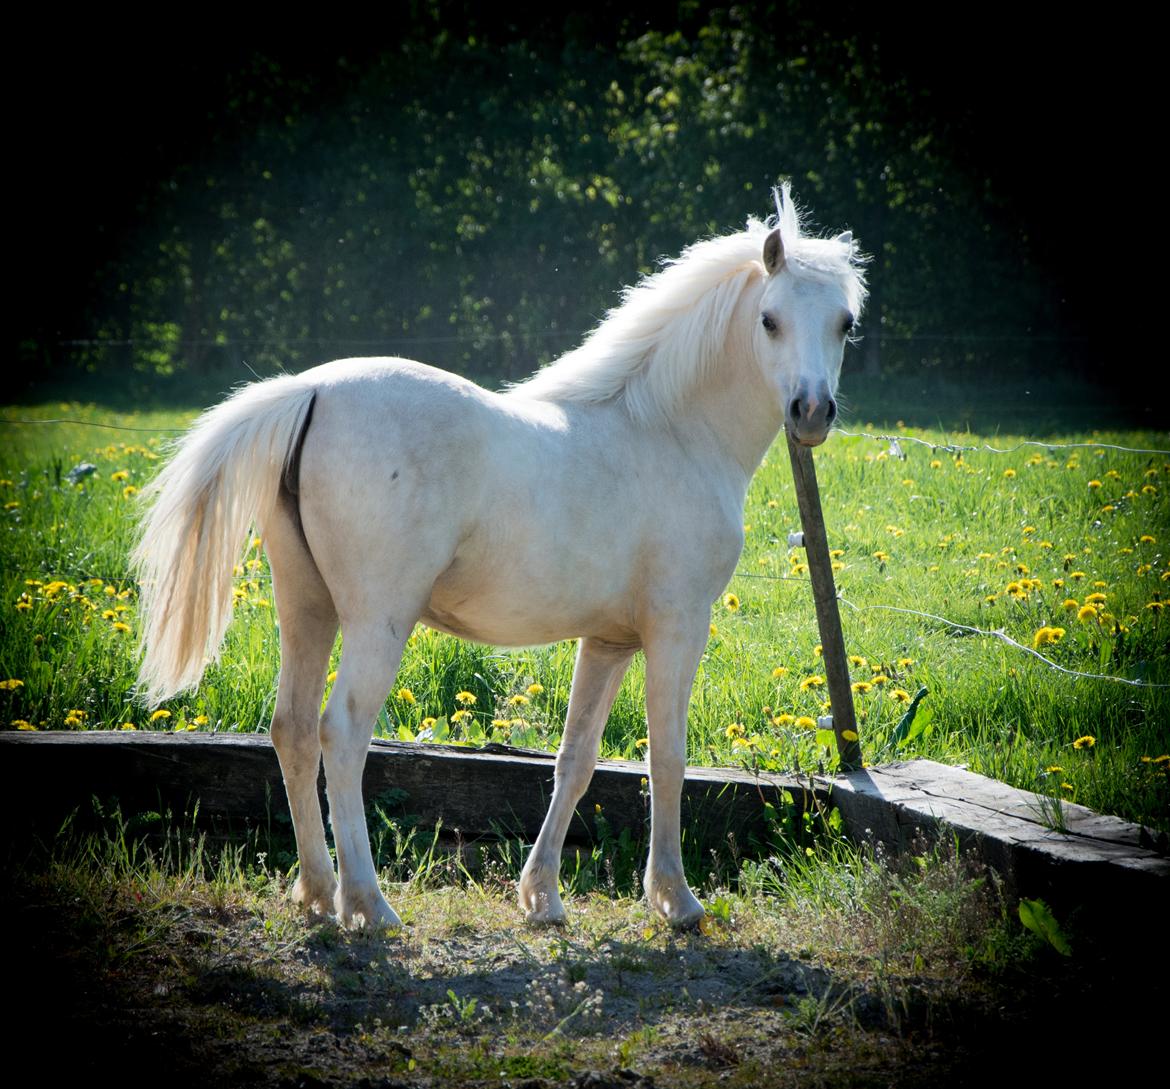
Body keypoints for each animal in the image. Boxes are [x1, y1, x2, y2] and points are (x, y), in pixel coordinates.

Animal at [133, 183, 866, 930]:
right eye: (770, 320)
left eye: (844, 323)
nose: (811, 412)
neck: (667, 430)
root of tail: (311, 391)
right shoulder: (678, 628)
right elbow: (666, 757)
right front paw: (676, 899)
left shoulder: (609, 642)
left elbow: (576, 759)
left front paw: (542, 896)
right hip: (377, 621)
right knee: (342, 733)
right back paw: (367, 902)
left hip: (307, 607)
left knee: (293, 729)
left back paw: (316, 892)